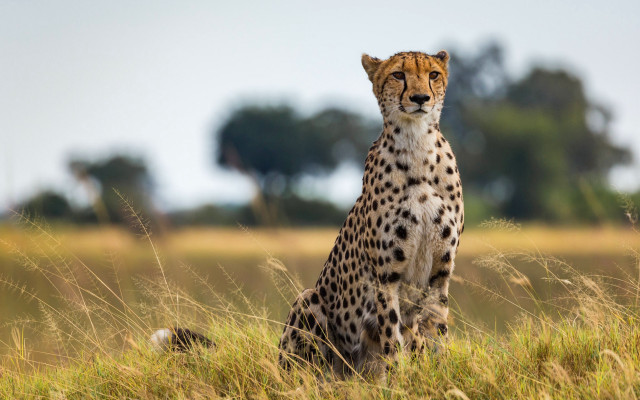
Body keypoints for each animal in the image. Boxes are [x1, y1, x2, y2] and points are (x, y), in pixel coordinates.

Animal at [277, 50, 464, 377]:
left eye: (433, 74)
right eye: (398, 74)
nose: (420, 98)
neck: (418, 146)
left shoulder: (440, 273)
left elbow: (437, 326)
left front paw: (442, 374)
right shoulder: (385, 276)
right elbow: (391, 333)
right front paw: (399, 378)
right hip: (309, 303)